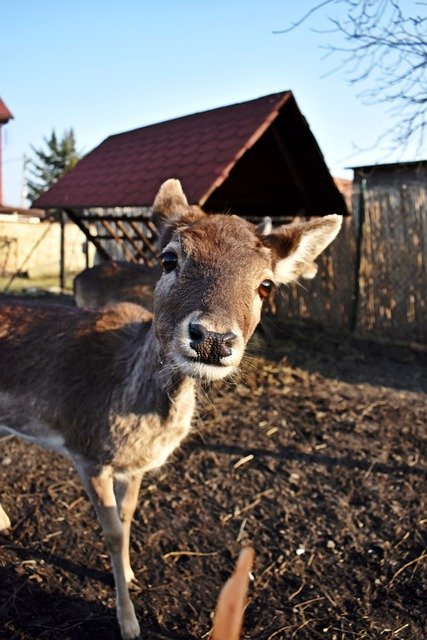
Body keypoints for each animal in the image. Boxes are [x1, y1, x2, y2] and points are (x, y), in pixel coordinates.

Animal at [0, 180, 342, 640]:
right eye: (169, 258)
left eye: (267, 285)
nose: (212, 338)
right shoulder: (85, 449)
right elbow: (111, 531)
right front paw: (128, 622)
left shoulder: (134, 467)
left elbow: (128, 517)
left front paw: (129, 575)